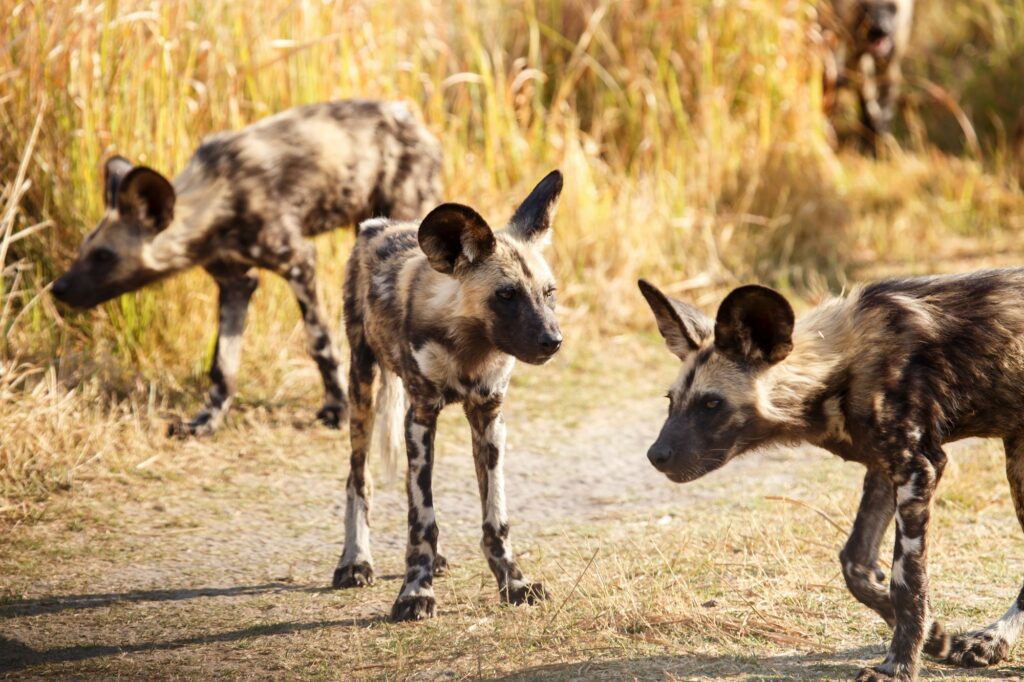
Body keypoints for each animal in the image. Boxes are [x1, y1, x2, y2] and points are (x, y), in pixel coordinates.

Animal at [51, 99, 442, 436]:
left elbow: (319, 342)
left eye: (104, 256)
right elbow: (222, 366)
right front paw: (206, 422)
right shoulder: (235, 283)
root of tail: (417, 124)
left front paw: (336, 409)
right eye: (84, 251)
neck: (217, 199)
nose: (58, 288)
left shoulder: (299, 263)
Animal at [638, 268, 1024, 675]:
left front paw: (896, 668)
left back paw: (993, 639)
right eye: (671, 401)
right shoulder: (885, 467)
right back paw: (990, 642)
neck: (842, 366)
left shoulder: (919, 468)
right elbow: (855, 565)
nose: (656, 455)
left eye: (712, 403)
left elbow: (908, 582)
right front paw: (934, 636)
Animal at [819, 0, 917, 151]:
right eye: (864, 7)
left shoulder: (888, 65)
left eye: (892, 7)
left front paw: (877, 143)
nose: (880, 29)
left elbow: (881, 108)